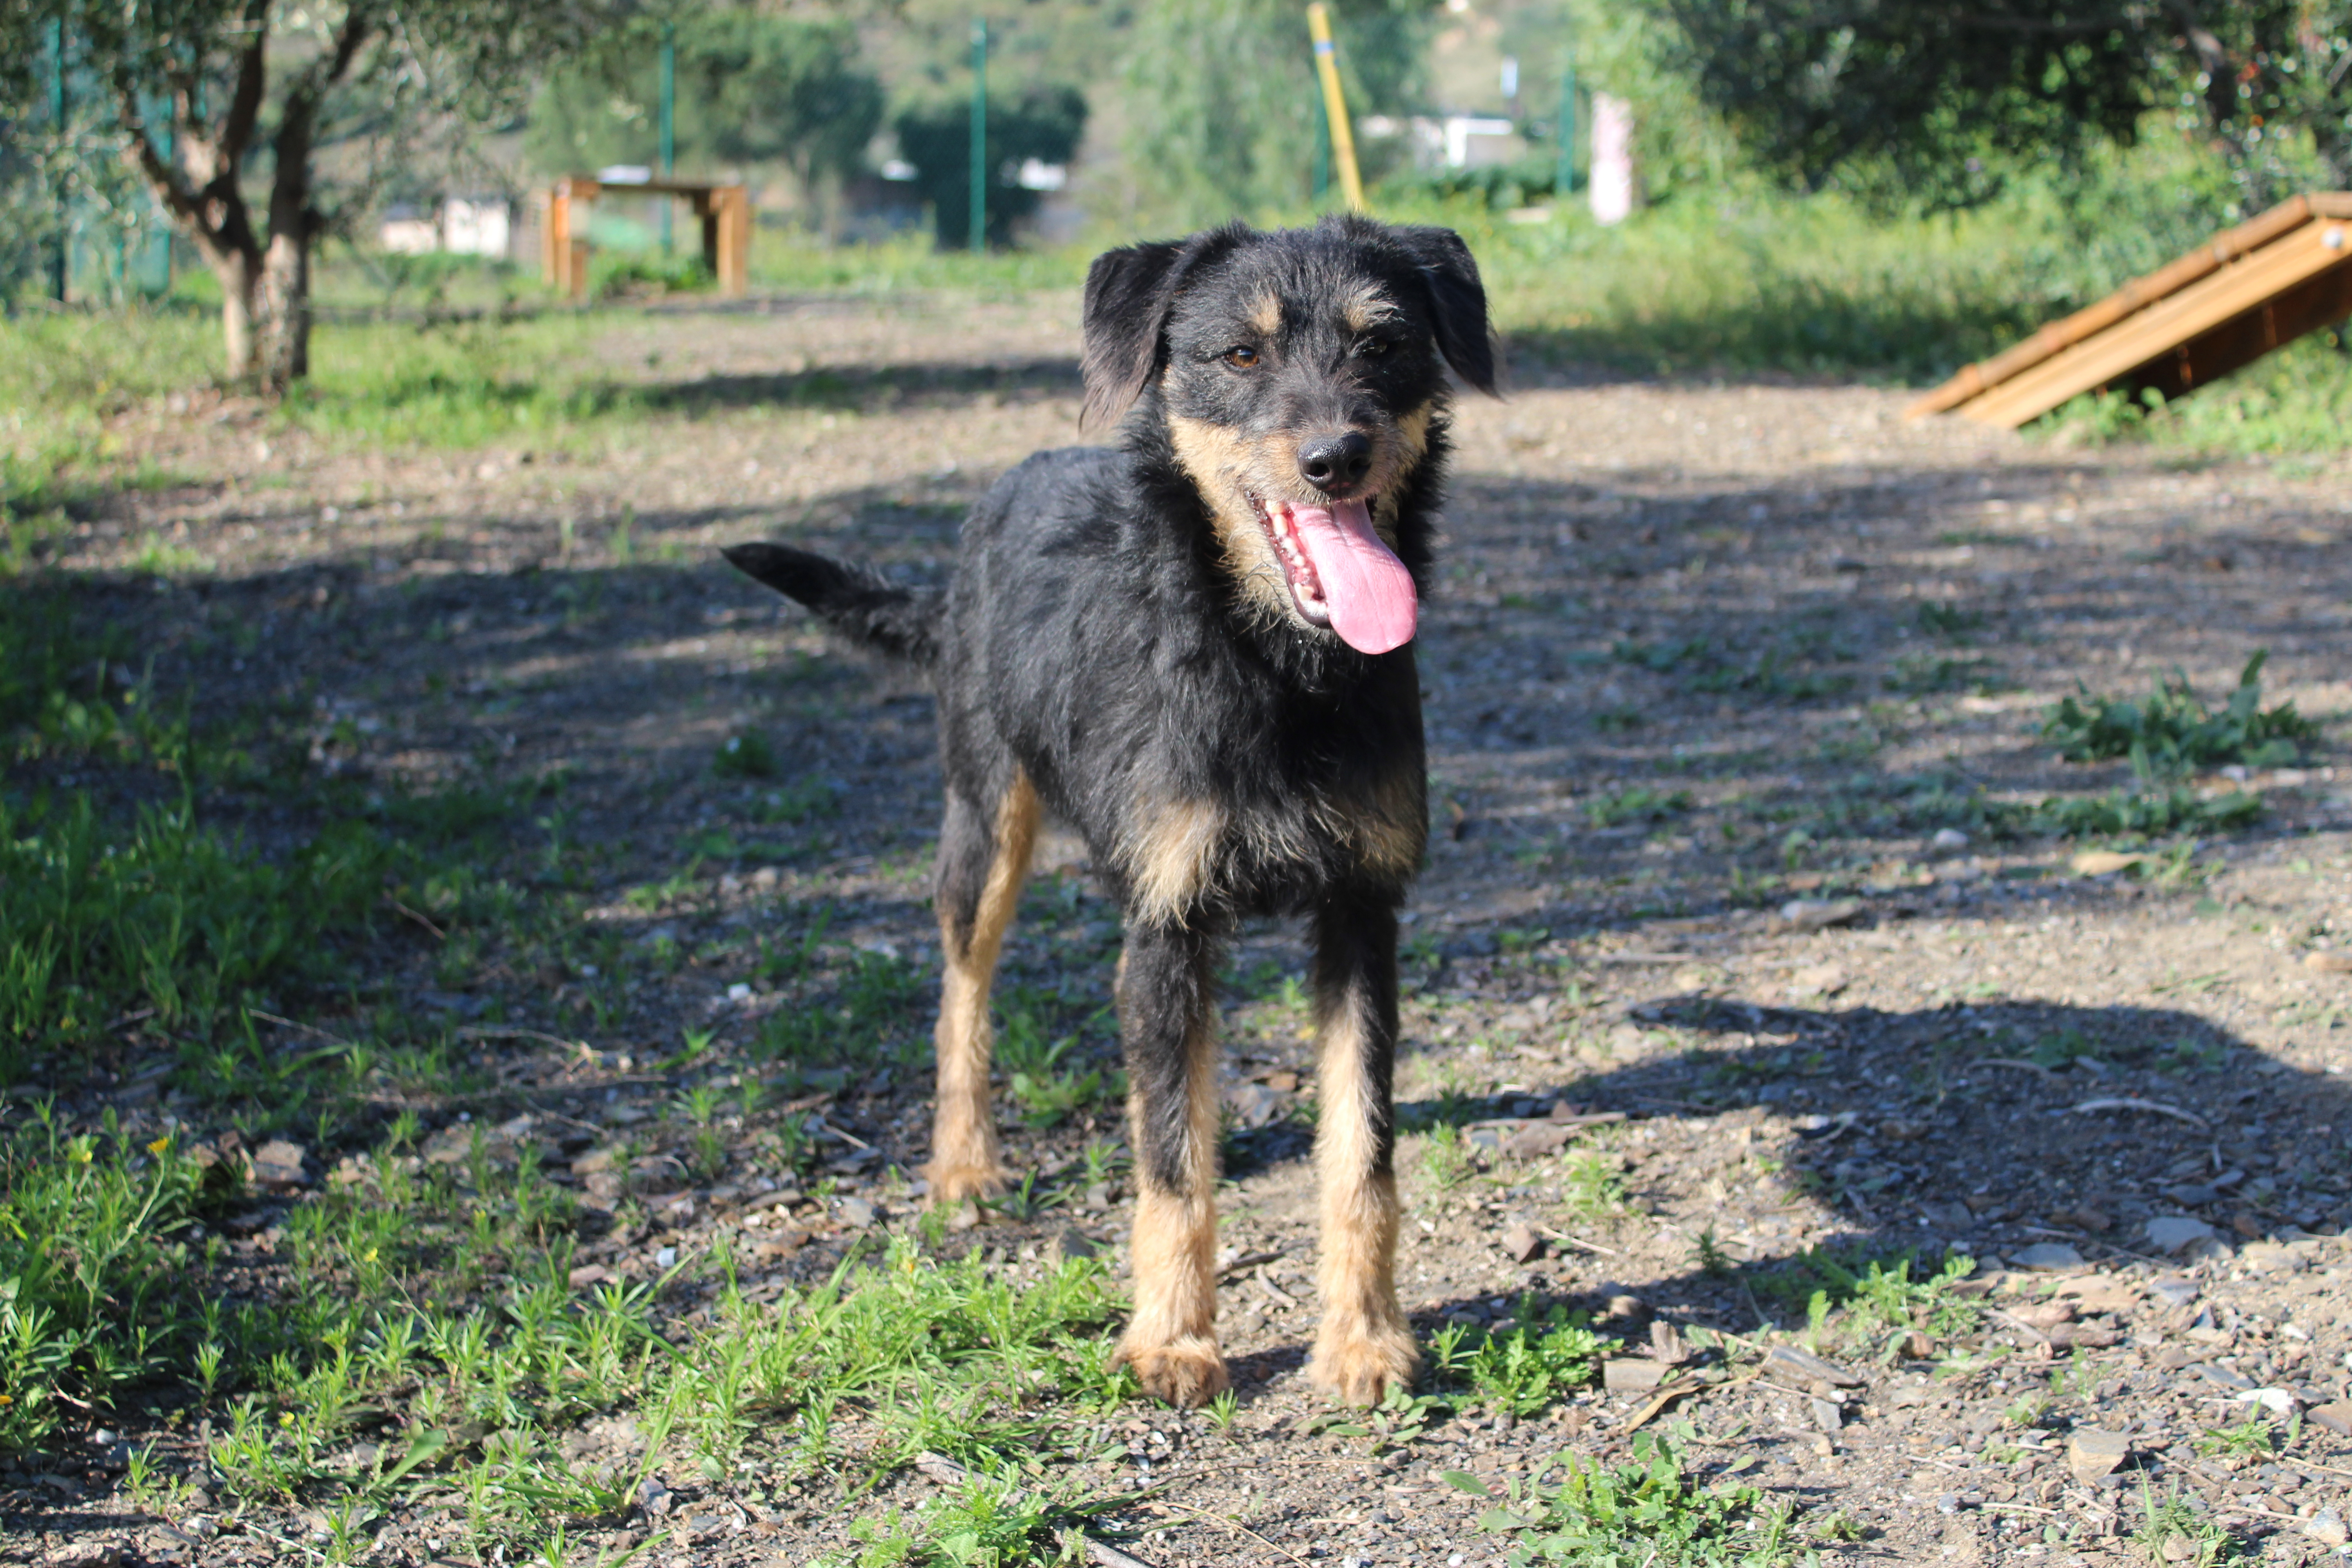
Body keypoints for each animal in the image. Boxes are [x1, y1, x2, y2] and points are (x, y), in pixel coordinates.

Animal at [720, 215, 1486, 1401]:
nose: (1335, 458)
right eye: (1240, 355)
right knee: (963, 990)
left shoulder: (1363, 912)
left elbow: (1361, 1153)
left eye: (1384, 344)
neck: (1271, 669)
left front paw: (1363, 1335)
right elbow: (1173, 1164)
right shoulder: (1168, 926)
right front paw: (1172, 1336)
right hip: (984, 822)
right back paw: (963, 1160)